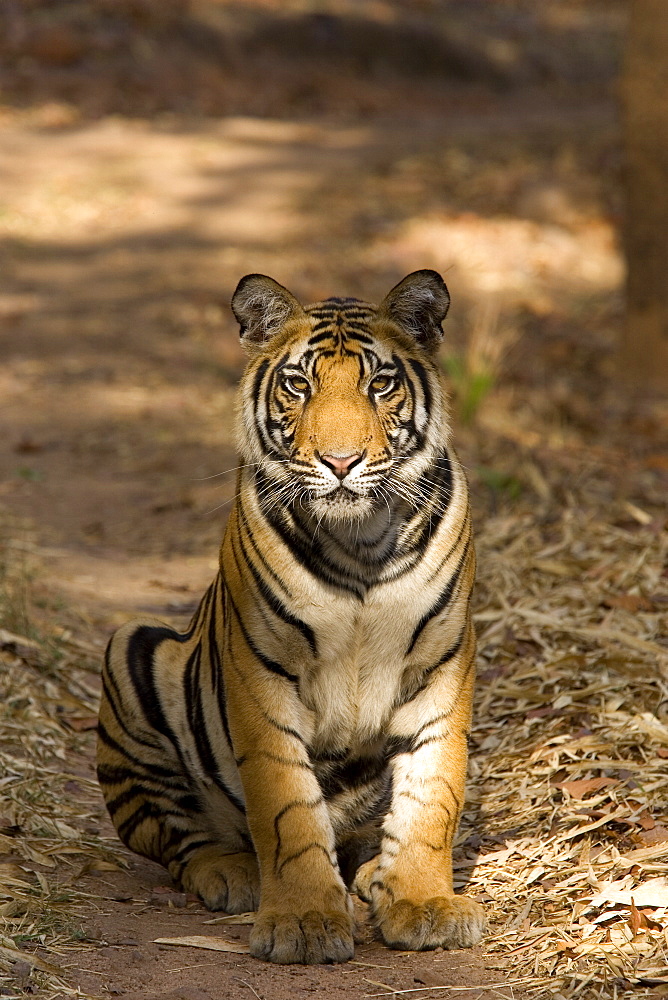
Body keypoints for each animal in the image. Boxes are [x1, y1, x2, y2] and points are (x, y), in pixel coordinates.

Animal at [96, 270, 486, 964]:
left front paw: (423, 904)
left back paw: (372, 875)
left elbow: (433, 796)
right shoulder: (261, 670)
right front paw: (304, 922)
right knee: (177, 836)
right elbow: (286, 806)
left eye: (379, 384)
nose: (341, 462)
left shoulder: (443, 664)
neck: (360, 542)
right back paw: (234, 874)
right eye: (299, 384)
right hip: (130, 651)